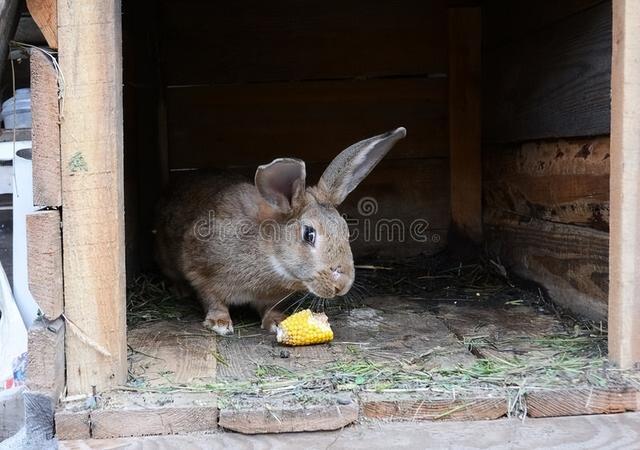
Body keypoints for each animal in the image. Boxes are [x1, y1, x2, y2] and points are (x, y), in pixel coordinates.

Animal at [154, 126, 404, 334]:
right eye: (309, 234)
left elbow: (269, 308)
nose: (341, 286)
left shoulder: (270, 296)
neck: (270, 254)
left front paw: (276, 322)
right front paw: (220, 324)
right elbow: (212, 298)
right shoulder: (200, 270)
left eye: (346, 231)